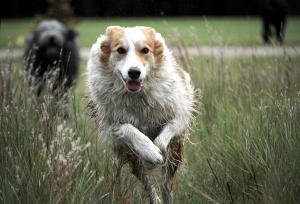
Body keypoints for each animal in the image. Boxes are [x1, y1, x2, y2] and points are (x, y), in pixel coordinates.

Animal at [86, 25, 195, 204]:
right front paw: (150, 152)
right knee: (148, 183)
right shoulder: (110, 126)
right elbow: (128, 129)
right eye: (120, 50)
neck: (137, 96)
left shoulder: (180, 115)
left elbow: (164, 136)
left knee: (167, 185)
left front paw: (155, 152)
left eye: (145, 50)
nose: (134, 72)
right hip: (131, 157)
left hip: (175, 155)